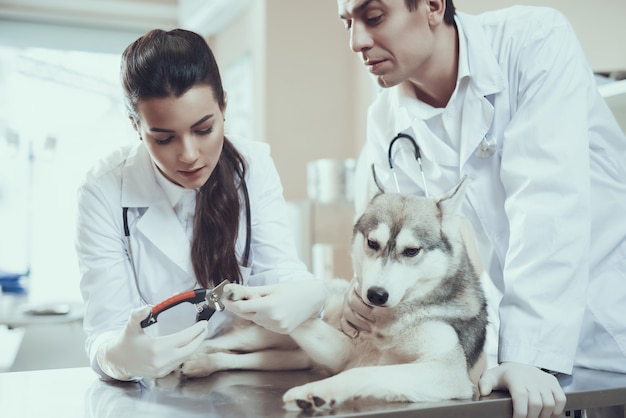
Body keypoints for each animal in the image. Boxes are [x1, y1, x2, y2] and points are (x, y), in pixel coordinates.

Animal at [180, 172, 488, 412]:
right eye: (372, 243)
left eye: (412, 251)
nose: (375, 295)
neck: (389, 322)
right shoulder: (345, 351)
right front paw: (248, 294)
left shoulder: (446, 372)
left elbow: (361, 374)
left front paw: (316, 393)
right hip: (263, 336)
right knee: (225, 342)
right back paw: (191, 351)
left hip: (294, 358)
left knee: (246, 357)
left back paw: (201, 362)